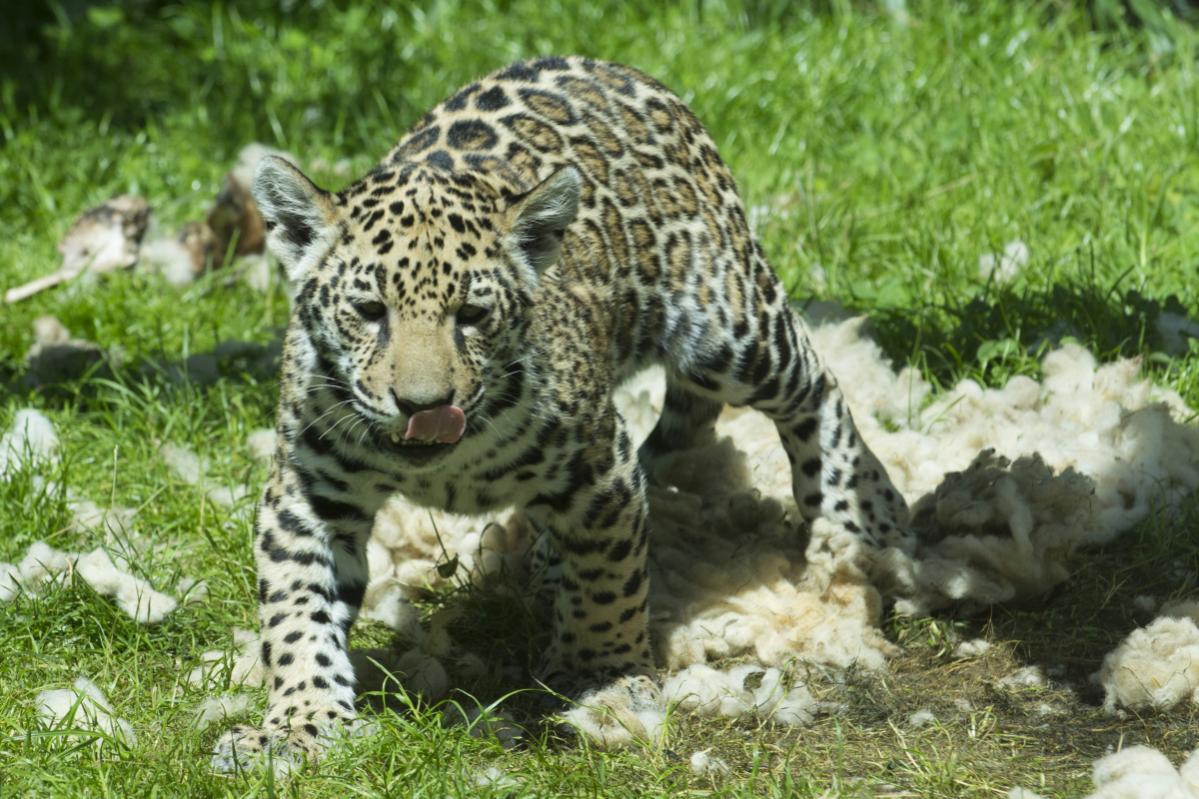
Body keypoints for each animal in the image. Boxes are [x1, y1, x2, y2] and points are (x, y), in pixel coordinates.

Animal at [215, 55, 909, 765]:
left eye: (472, 315)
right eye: (368, 311)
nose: (424, 407)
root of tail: (618, 69)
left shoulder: (601, 467)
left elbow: (609, 582)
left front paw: (602, 679)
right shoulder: (308, 494)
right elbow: (298, 611)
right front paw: (300, 722)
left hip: (730, 326)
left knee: (814, 381)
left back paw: (865, 512)